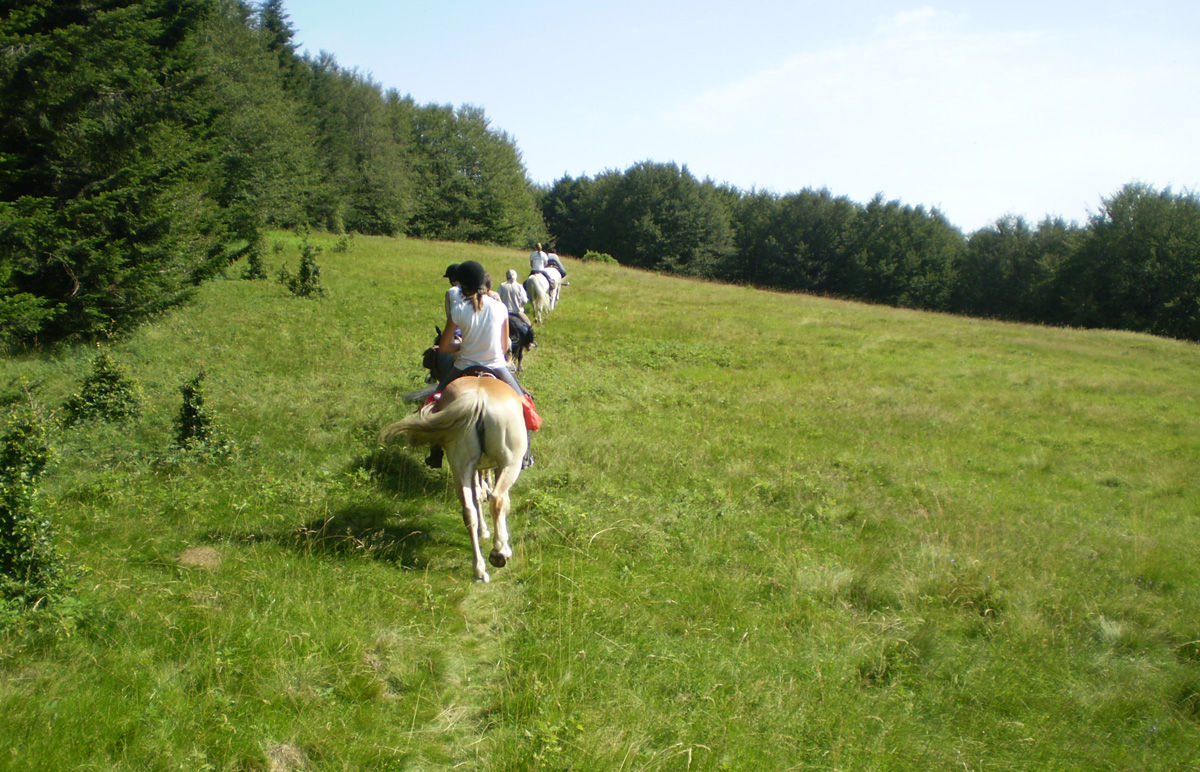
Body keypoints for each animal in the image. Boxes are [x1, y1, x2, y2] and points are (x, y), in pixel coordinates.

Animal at [376, 376, 523, 583]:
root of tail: (478, 399)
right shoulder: (499, 466)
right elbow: (501, 501)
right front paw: (502, 543)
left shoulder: (475, 469)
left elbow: (478, 497)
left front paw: (483, 531)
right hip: (510, 463)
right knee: (497, 499)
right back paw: (498, 552)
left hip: (460, 466)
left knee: (469, 511)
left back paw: (479, 570)